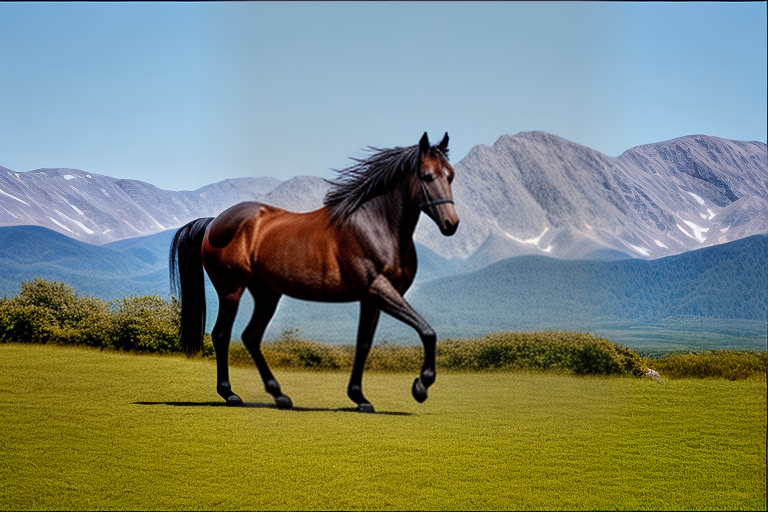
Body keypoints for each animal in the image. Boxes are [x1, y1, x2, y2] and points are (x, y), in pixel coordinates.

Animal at [169, 132, 459, 412]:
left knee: (251, 337)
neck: (375, 225)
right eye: (427, 176)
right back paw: (230, 394)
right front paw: (421, 386)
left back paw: (279, 395)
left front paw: (359, 397)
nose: (451, 224)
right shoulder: (377, 289)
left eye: (450, 175)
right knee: (222, 335)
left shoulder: (371, 299)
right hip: (231, 290)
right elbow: (427, 331)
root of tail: (213, 223)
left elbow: (363, 344)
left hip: (267, 294)